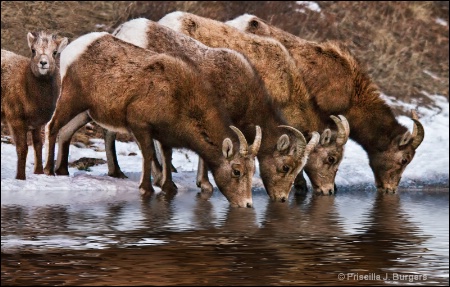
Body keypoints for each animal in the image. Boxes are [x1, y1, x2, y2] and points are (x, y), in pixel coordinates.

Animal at [1, 31, 68, 180]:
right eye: (33, 50)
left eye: (55, 52)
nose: (43, 63)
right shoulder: (16, 120)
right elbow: (23, 148)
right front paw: (20, 177)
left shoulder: (37, 123)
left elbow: (38, 145)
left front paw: (39, 172)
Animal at [42, 32, 262, 208]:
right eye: (236, 171)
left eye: (253, 171)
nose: (247, 204)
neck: (180, 99)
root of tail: (72, 49)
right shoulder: (140, 125)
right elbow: (148, 154)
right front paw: (146, 188)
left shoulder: (164, 135)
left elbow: (167, 157)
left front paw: (169, 186)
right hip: (71, 99)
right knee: (52, 127)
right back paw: (48, 170)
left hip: (86, 112)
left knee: (65, 132)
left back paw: (62, 171)